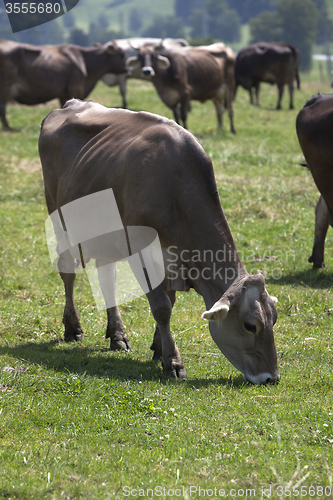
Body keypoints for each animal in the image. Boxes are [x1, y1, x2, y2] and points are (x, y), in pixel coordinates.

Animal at [37, 99, 278, 384]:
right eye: (250, 325)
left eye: (274, 319)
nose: (271, 377)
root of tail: (70, 104)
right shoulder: (139, 250)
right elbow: (162, 306)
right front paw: (172, 361)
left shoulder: (171, 260)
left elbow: (169, 301)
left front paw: (159, 347)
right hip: (58, 217)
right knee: (68, 273)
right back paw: (72, 327)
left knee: (107, 280)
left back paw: (117, 335)